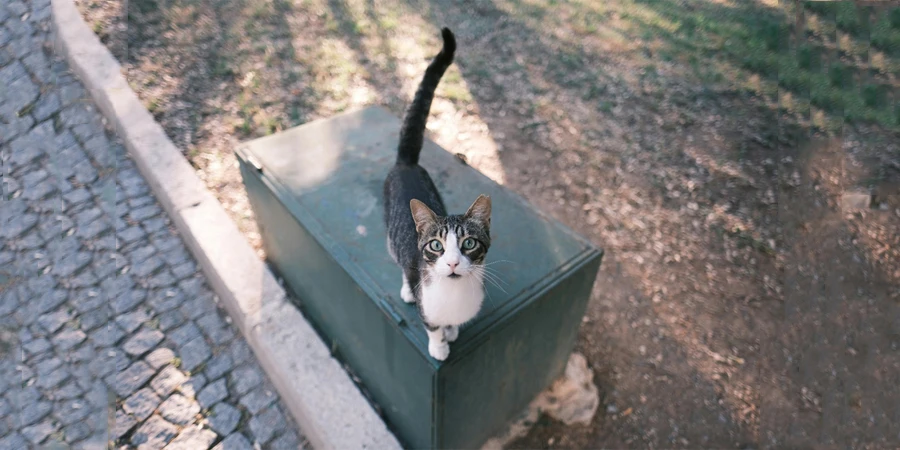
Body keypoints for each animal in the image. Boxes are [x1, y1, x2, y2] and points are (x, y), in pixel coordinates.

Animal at [380, 26, 492, 360]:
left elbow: (454, 323)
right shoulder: (427, 307)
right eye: (435, 246)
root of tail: (407, 163)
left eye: (469, 243)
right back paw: (406, 288)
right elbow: (432, 326)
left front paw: (453, 331)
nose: (453, 263)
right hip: (392, 236)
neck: (455, 295)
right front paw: (440, 345)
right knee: (401, 263)